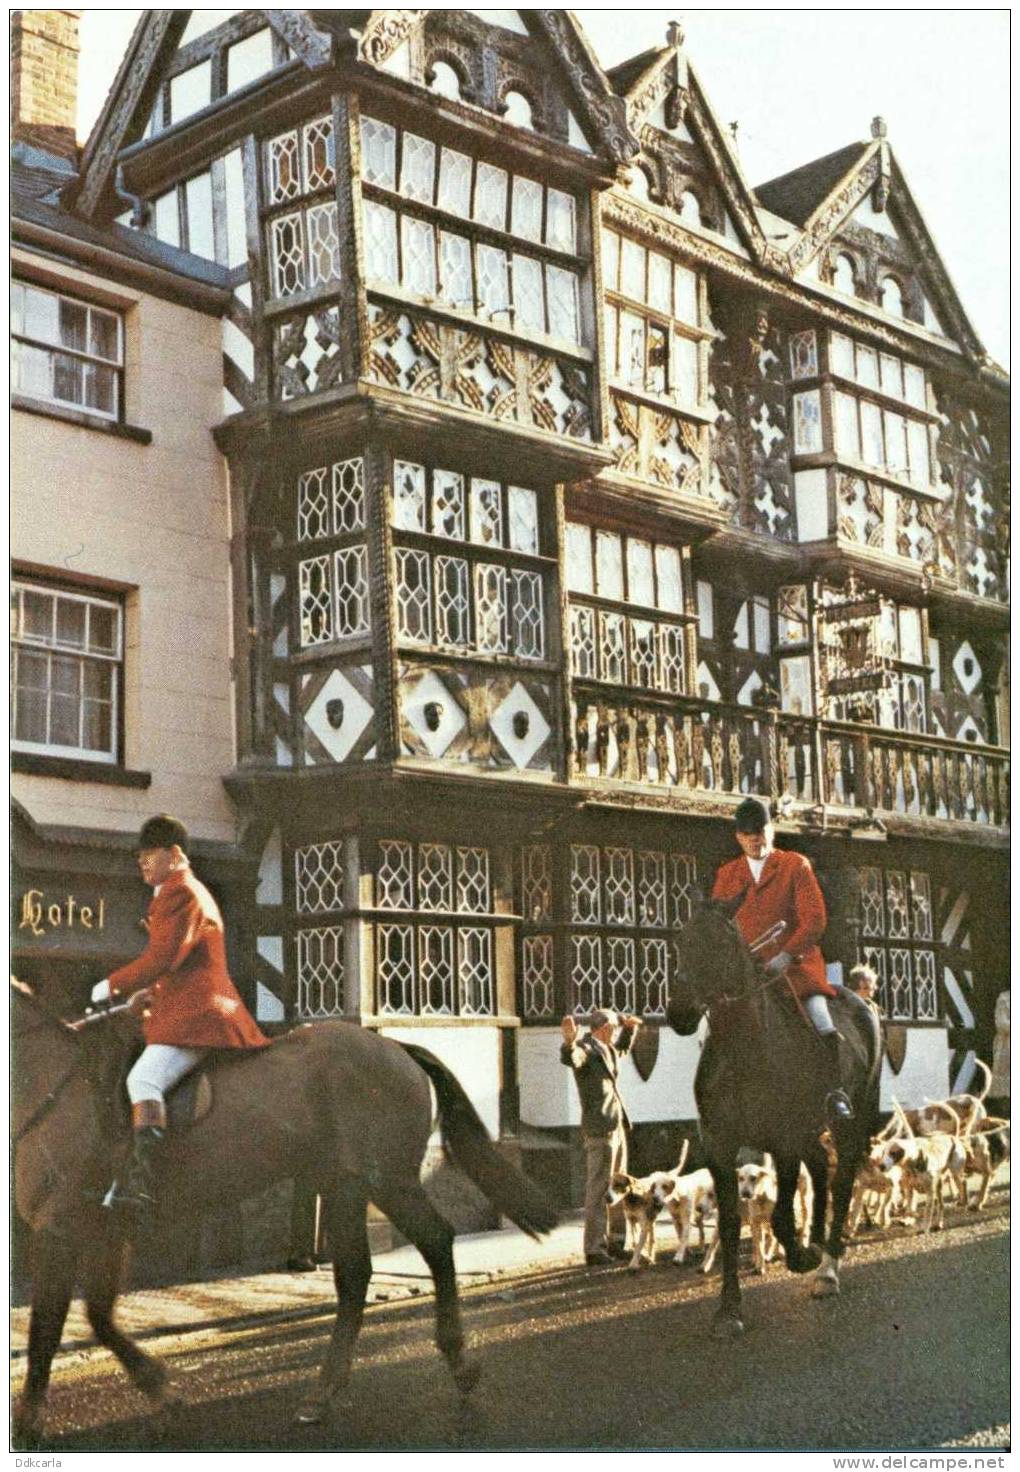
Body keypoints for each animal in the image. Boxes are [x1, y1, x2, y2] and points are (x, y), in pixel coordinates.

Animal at [11, 977, 556, 1448]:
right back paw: (324, 1393)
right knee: (356, 1275)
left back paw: (456, 1362)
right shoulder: (102, 1231)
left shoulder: (57, 1231)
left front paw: (28, 1425)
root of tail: (396, 1048)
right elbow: (98, 1319)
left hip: (388, 1181)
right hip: (344, 1186)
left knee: (435, 1242)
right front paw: (164, 1395)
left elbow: (45, 1332)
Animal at [665, 900, 877, 1342]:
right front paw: (728, 1309)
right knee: (821, 1171)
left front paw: (800, 1256)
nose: (681, 1012)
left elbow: (780, 1214)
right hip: (812, 1128)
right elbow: (730, 1224)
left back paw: (827, 1267)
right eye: (681, 940)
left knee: (841, 1181)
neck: (744, 1048)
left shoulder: (783, 1140)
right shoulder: (720, 1144)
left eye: (723, 943)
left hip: (847, 1123)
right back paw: (817, 1242)